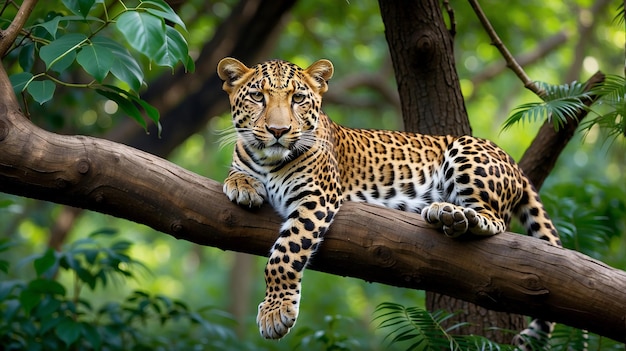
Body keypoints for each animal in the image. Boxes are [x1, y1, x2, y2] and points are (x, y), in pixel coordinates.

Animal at [216, 57, 560, 350]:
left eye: (298, 99)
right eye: (258, 96)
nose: (278, 131)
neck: (269, 161)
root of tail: (513, 162)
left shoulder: (317, 196)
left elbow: (284, 255)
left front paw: (275, 313)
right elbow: (236, 172)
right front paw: (243, 186)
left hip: (465, 151)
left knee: (496, 220)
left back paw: (452, 213)